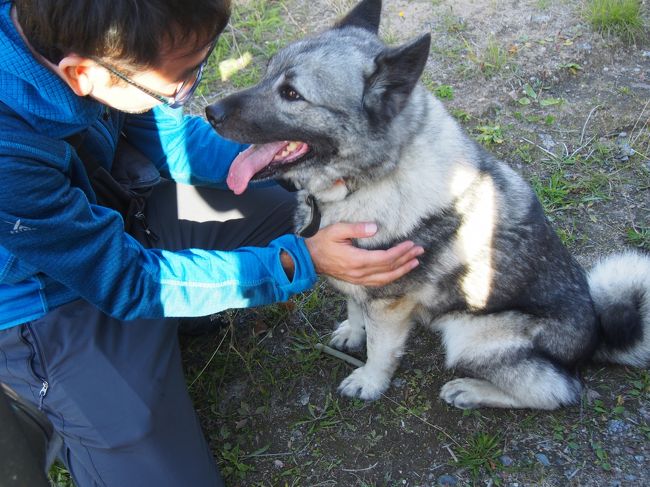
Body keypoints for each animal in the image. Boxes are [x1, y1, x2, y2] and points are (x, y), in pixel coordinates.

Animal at [205, 0, 644, 412]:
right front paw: (353, 331)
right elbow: (354, 305)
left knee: (557, 391)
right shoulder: (358, 276)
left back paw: (470, 390)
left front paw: (370, 380)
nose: (210, 112)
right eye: (266, 73)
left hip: (471, 335)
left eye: (292, 94)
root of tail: (593, 337)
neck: (371, 177)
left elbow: (380, 348)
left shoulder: (389, 302)